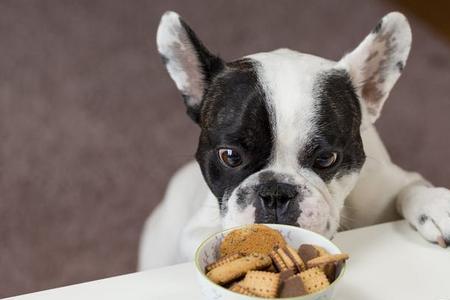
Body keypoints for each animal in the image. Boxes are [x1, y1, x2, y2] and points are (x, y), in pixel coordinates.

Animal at [137, 11, 450, 270]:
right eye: (230, 156)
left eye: (326, 159)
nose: (275, 193)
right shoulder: (195, 231)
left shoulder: (386, 183)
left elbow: (410, 188)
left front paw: (436, 206)